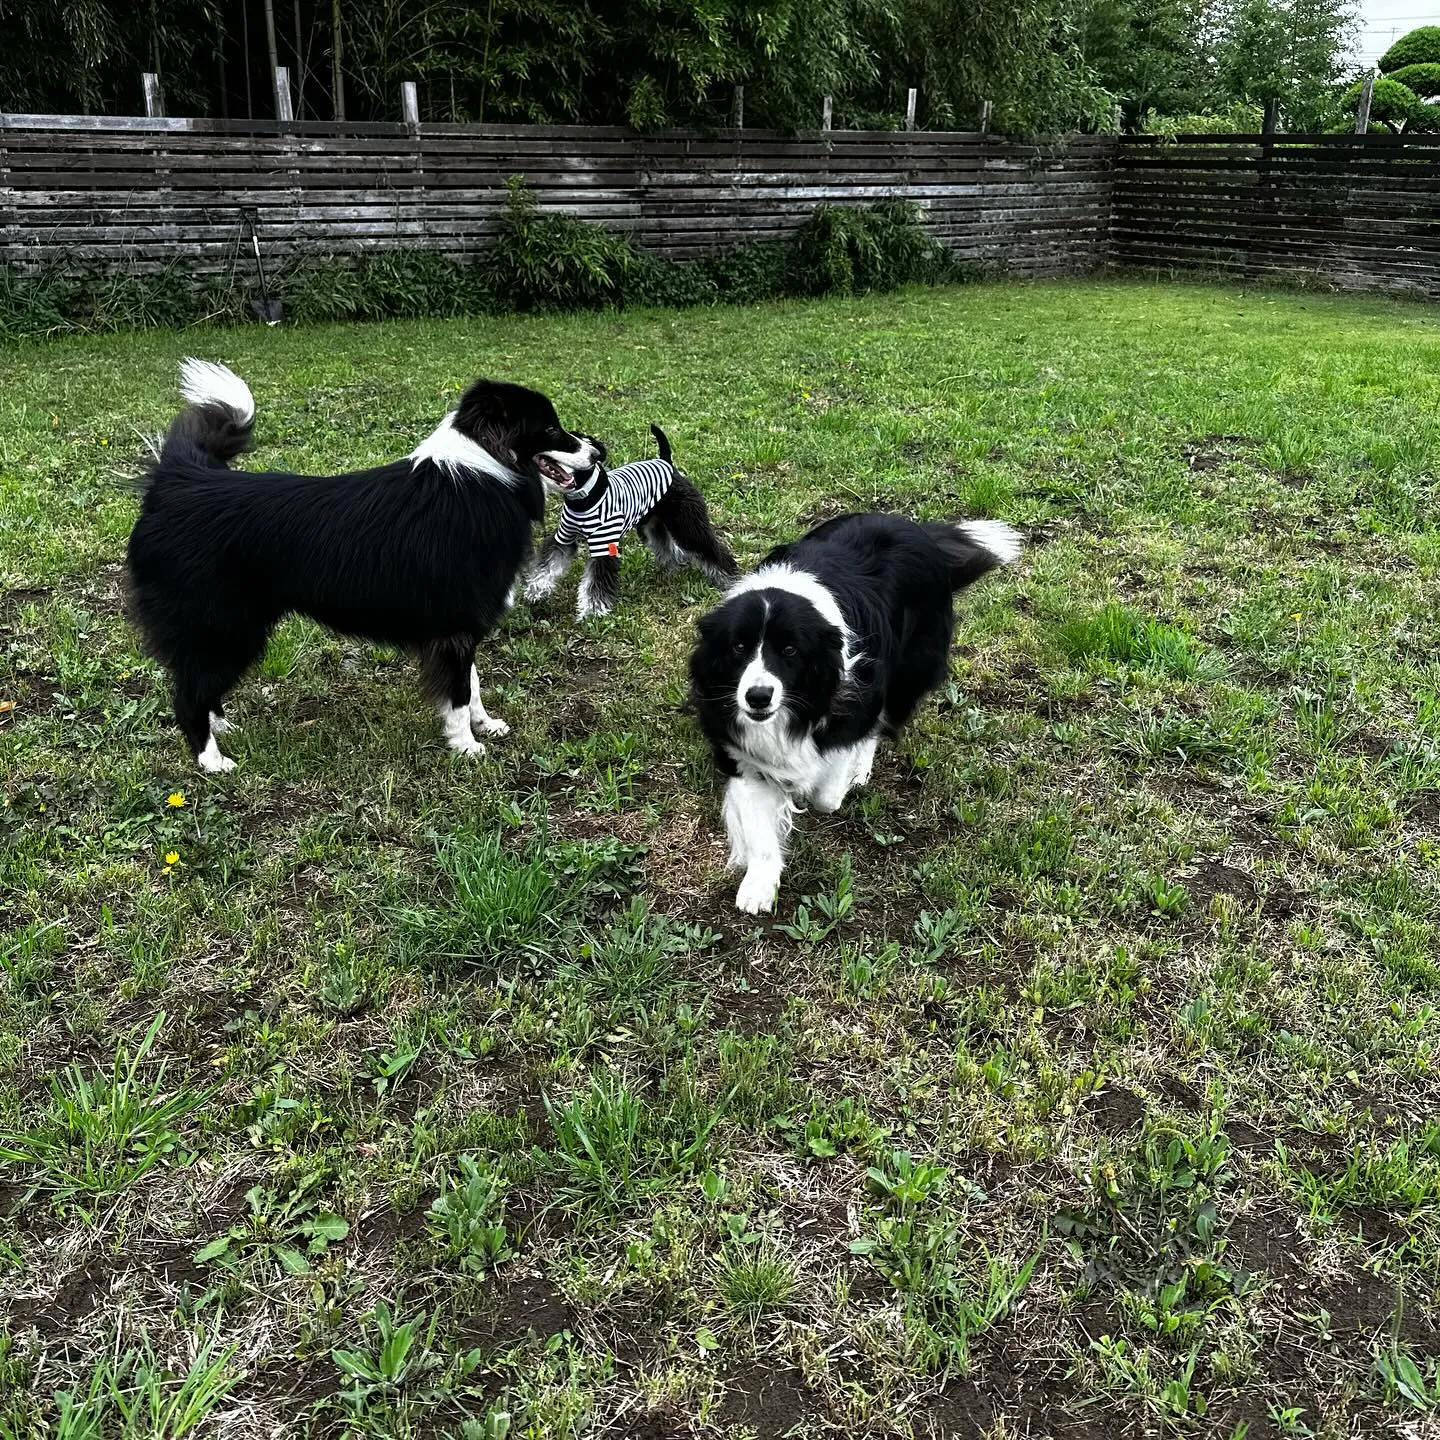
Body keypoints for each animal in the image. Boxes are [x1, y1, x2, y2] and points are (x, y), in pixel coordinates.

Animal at [123, 358, 596, 771]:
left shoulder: (460, 622)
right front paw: (466, 747)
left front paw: (486, 725)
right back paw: (213, 761)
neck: (487, 468)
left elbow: (473, 683)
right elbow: (459, 692)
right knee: (188, 695)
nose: (597, 453)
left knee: (201, 685)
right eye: (550, 429)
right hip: (224, 628)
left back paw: (223, 727)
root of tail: (179, 481)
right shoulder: (457, 626)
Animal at [524, 420, 737, 613]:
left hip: (687, 525)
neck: (584, 499)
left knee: (710, 549)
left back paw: (730, 580)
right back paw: (673, 570)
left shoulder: (604, 546)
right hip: (652, 527)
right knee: (667, 548)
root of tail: (666, 462)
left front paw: (593, 611)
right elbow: (547, 564)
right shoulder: (564, 537)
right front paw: (536, 591)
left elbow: (596, 582)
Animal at [688, 515, 1019, 910]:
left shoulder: (854, 701)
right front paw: (758, 884)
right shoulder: (738, 748)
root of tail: (915, 527)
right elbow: (758, 815)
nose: (758, 697)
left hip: (908, 671)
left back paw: (859, 770)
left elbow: (827, 794)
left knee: (880, 723)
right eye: (738, 647)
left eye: (790, 651)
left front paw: (827, 782)